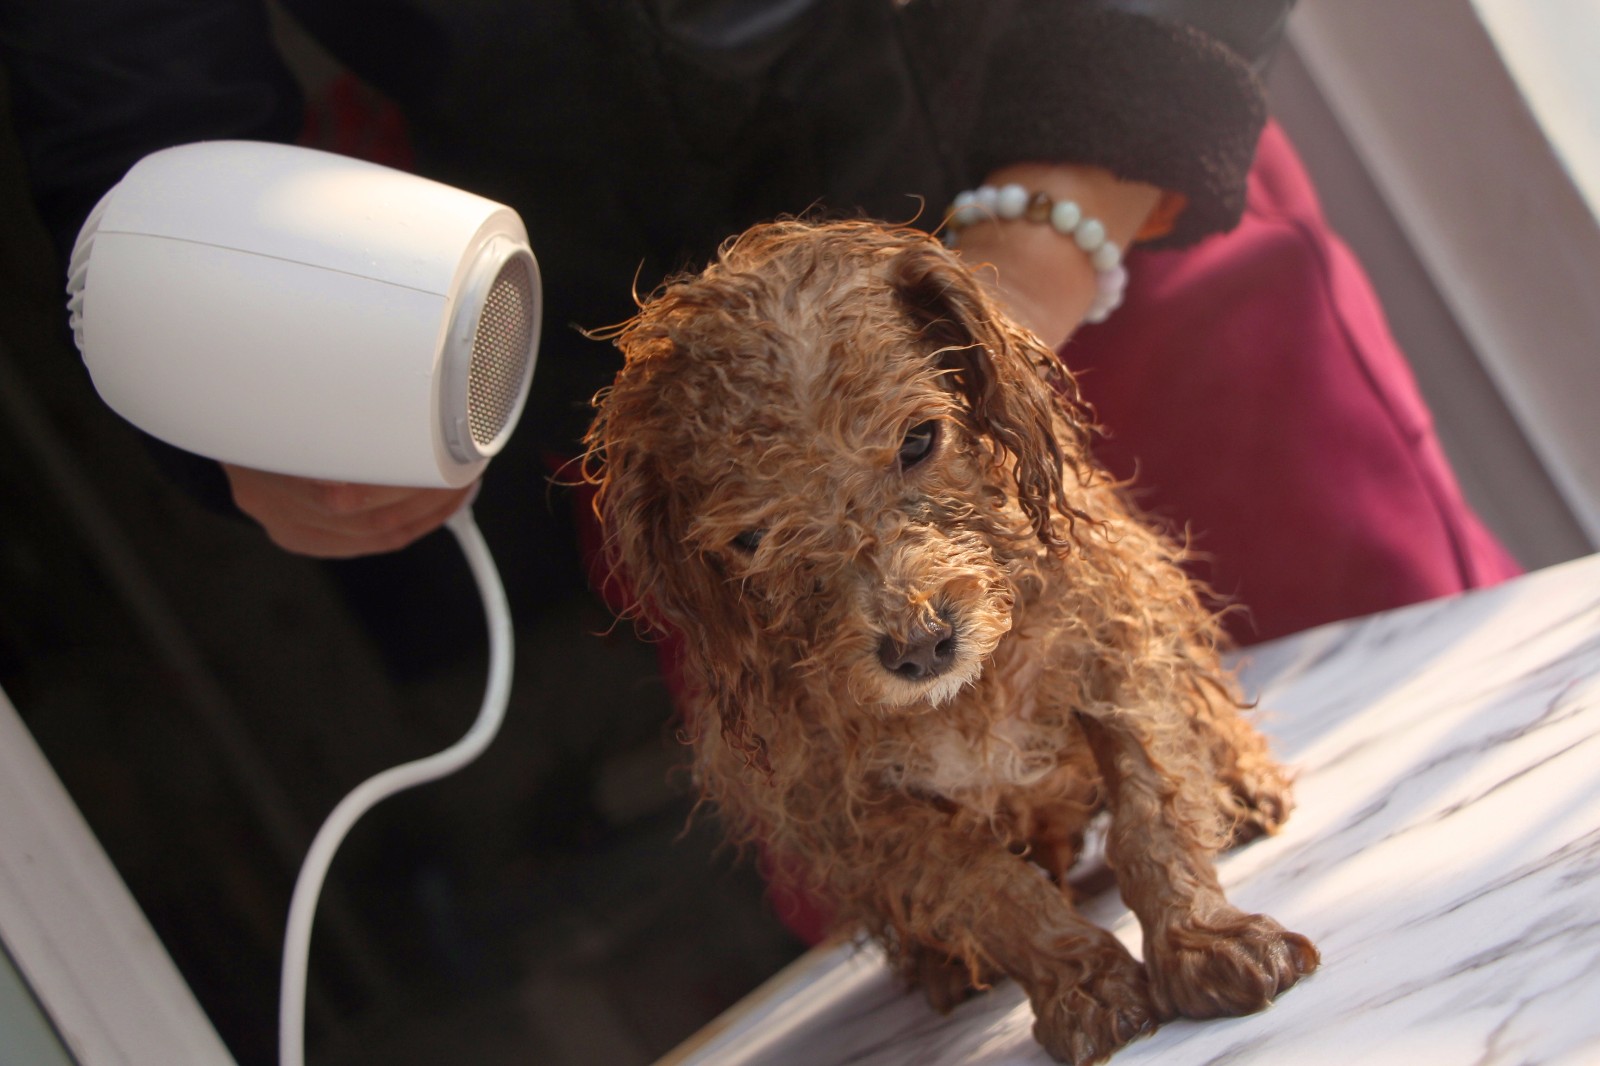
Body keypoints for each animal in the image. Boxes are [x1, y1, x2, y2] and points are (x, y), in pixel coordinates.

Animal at [582, 217, 1318, 1062]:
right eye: (751, 538)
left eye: (919, 440)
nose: (919, 646)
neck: (964, 696)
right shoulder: (860, 812)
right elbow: (991, 890)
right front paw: (1085, 985)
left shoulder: (1116, 656)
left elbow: (1150, 816)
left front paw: (1203, 940)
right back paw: (945, 965)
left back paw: (1242, 788)